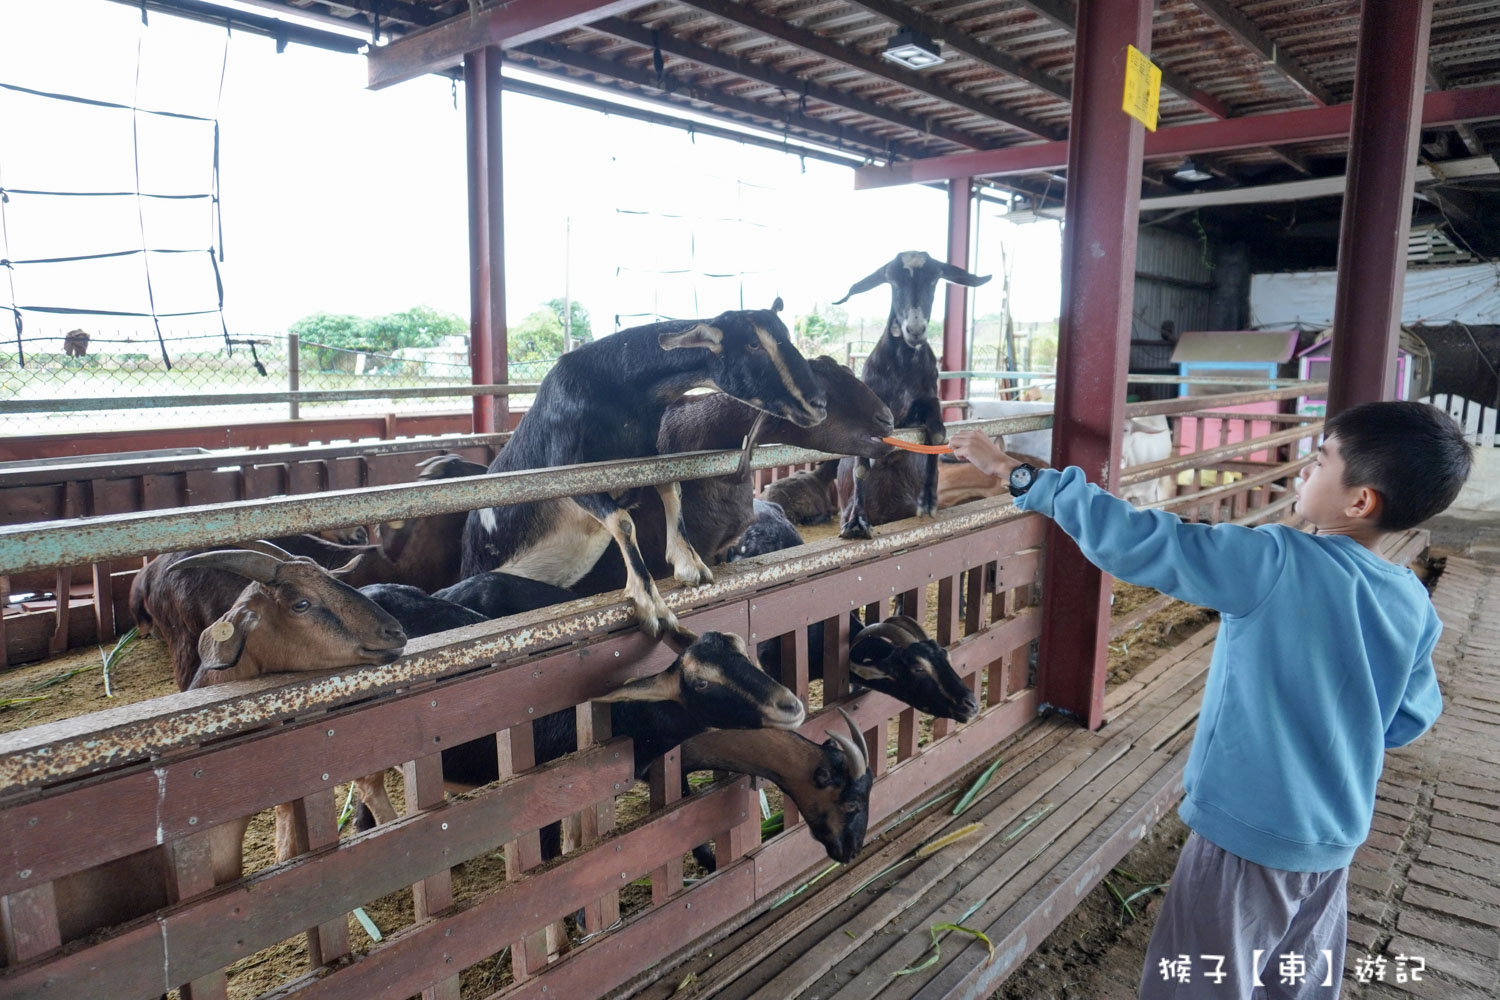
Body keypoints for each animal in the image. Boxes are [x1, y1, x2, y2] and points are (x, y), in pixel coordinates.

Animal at [462, 301, 828, 638]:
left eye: (785, 335)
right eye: (753, 344)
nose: (819, 404)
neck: (618, 393)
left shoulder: (646, 457)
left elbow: (671, 488)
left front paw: (689, 564)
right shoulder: (566, 475)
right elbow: (623, 521)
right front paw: (651, 603)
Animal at [828, 254, 990, 539]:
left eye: (935, 278)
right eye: (892, 281)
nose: (915, 329)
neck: (902, 368)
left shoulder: (928, 397)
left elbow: (937, 434)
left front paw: (929, 499)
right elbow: (861, 464)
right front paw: (858, 521)